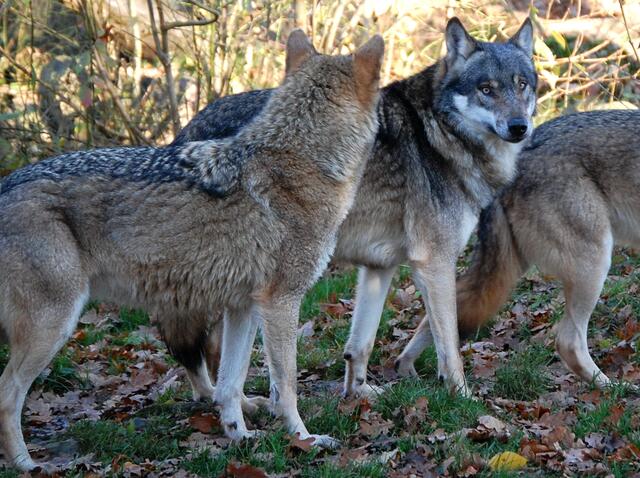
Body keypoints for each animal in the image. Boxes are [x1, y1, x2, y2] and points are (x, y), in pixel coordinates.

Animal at [0, 30, 384, 471]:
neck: (303, 162)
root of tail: (5, 184)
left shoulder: (243, 306)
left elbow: (229, 384)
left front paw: (239, 436)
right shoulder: (281, 303)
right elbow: (285, 385)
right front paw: (305, 439)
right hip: (55, 325)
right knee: (7, 395)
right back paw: (28, 466)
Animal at [173, 18, 537, 398]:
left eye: (521, 84)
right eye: (486, 89)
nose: (518, 127)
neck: (440, 134)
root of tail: (190, 127)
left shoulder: (380, 266)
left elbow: (360, 344)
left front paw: (359, 395)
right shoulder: (435, 262)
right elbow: (449, 345)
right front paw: (463, 397)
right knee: (200, 349)